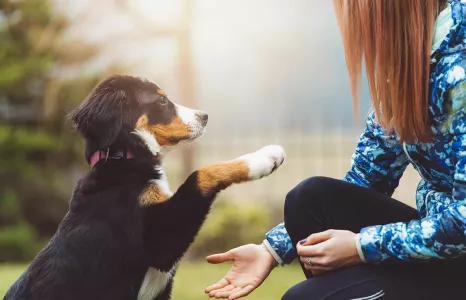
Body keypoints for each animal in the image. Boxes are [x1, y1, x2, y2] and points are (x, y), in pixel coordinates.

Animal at [4, 75, 284, 300]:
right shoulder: (160, 242)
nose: (205, 116)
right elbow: (201, 173)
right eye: (160, 101)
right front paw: (263, 158)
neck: (122, 158)